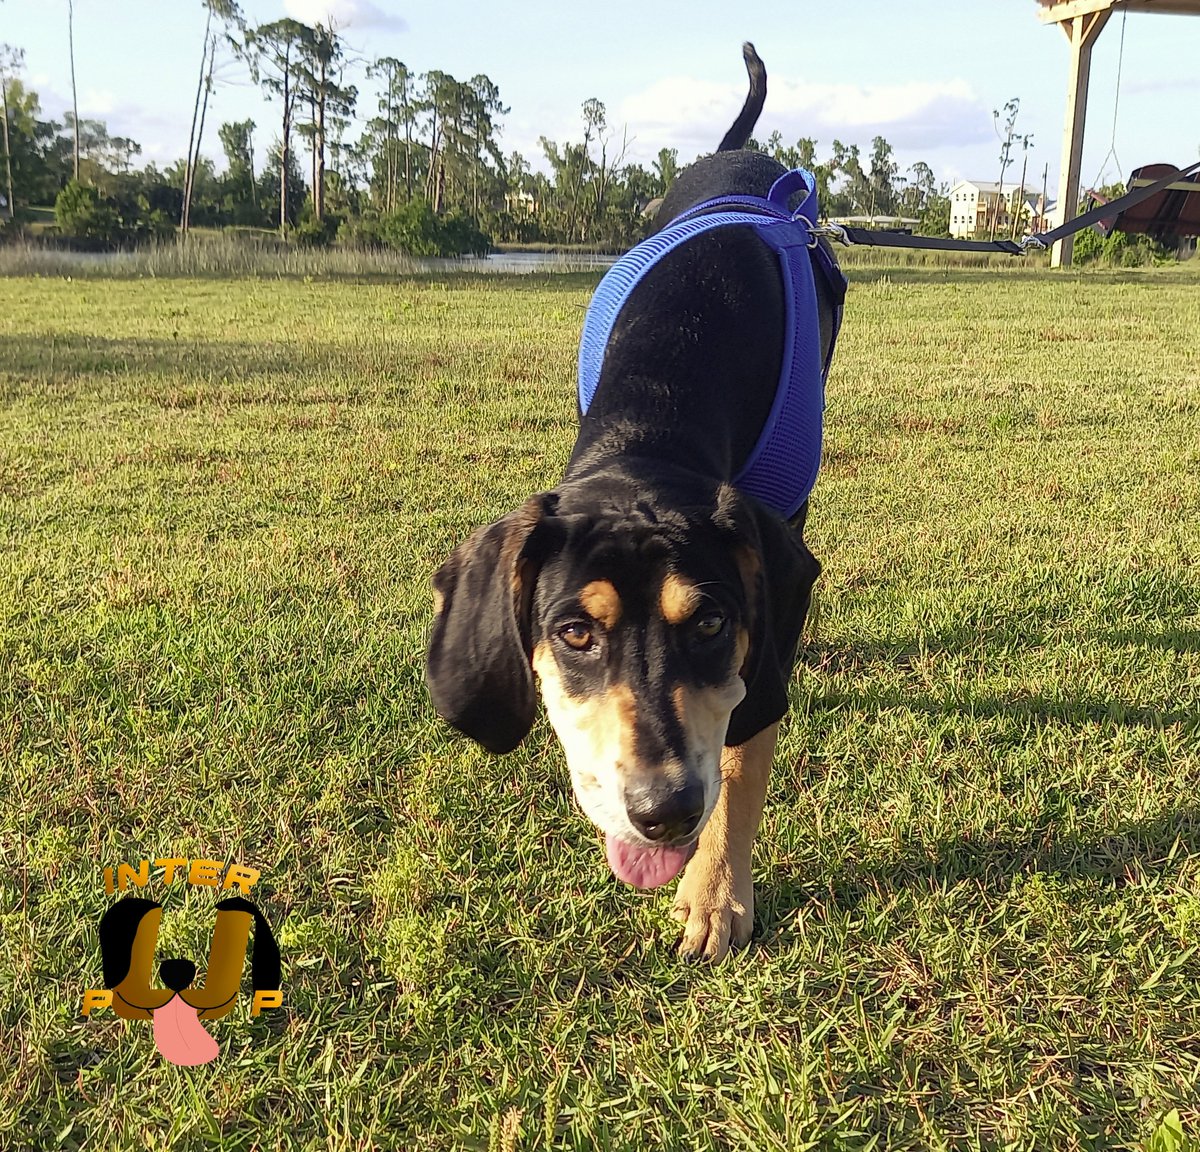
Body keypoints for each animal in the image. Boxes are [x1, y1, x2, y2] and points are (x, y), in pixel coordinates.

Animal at [427, 45, 840, 960]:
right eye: (575, 634)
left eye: (713, 623)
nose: (663, 813)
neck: (657, 414)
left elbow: (743, 750)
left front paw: (714, 895)